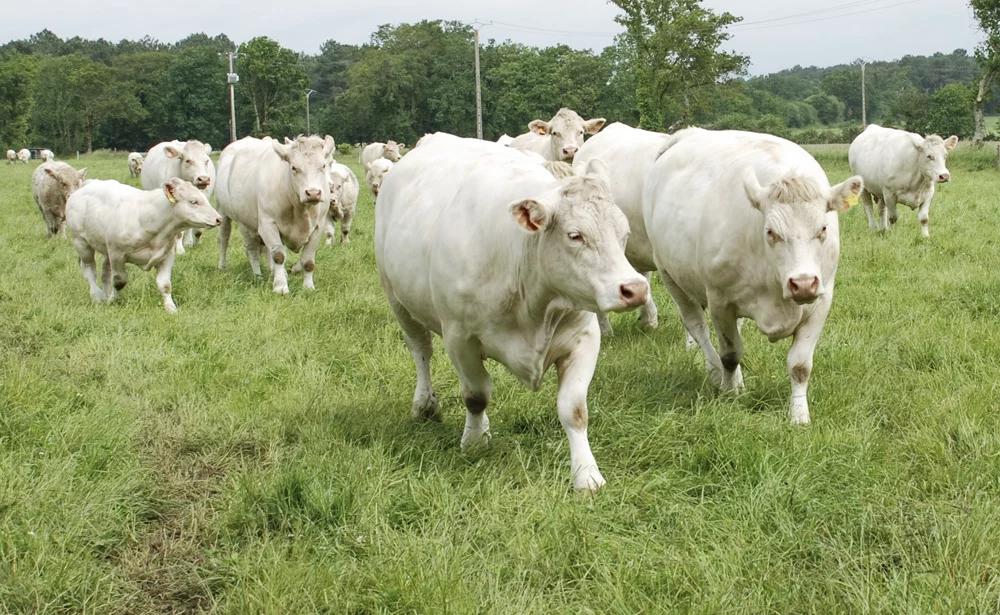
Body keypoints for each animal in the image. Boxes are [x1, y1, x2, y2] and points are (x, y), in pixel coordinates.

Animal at [67, 178, 223, 312]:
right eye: (193, 201)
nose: (218, 219)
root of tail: (87, 184)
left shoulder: (166, 256)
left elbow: (165, 285)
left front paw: (170, 308)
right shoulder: (117, 254)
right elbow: (119, 281)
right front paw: (112, 300)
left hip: (106, 248)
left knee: (105, 272)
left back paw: (105, 294)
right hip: (81, 243)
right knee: (89, 269)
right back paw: (97, 296)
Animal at [216, 135, 336, 294]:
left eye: (323, 166)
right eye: (294, 167)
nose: (313, 193)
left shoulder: (318, 227)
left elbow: (308, 260)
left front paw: (308, 286)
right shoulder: (268, 224)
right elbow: (279, 256)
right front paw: (280, 286)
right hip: (229, 215)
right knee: (235, 243)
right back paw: (245, 272)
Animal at [376, 134, 648, 490]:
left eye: (623, 233)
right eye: (575, 235)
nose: (635, 288)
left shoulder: (584, 338)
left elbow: (574, 409)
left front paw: (587, 475)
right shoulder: (459, 338)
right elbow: (476, 395)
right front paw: (474, 441)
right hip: (399, 300)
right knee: (421, 351)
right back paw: (425, 404)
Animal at [644, 129, 864, 428]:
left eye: (823, 228)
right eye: (770, 232)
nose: (803, 283)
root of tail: (688, 133)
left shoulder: (821, 301)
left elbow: (800, 365)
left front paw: (799, 415)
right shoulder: (719, 300)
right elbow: (730, 353)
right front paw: (729, 393)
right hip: (670, 276)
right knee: (697, 327)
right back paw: (717, 374)